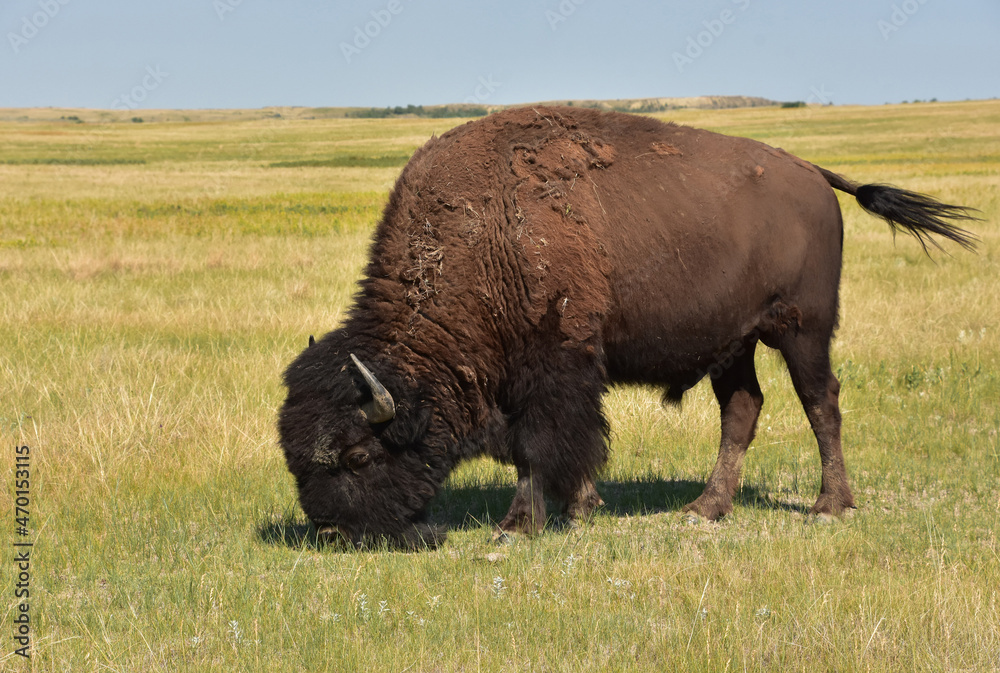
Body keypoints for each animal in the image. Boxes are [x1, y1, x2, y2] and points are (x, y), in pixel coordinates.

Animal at [280, 103, 976, 544]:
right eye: (295, 459)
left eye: (358, 456)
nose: (332, 531)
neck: (488, 232)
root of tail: (810, 172)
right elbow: (561, 444)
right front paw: (583, 507)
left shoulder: (552, 368)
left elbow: (540, 445)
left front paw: (520, 525)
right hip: (734, 344)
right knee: (742, 408)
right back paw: (705, 509)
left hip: (802, 329)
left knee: (820, 402)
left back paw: (829, 508)